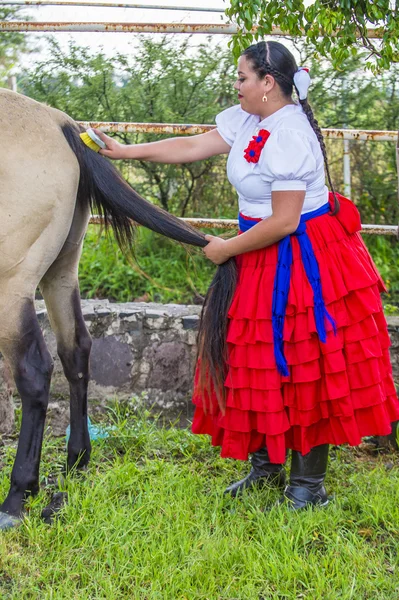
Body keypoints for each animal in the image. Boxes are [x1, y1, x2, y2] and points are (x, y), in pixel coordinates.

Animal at [0, 89, 212, 528]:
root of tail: (62, 124)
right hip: (61, 273)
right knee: (75, 350)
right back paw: (77, 460)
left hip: (11, 287)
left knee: (35, 371)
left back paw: (17, 495)